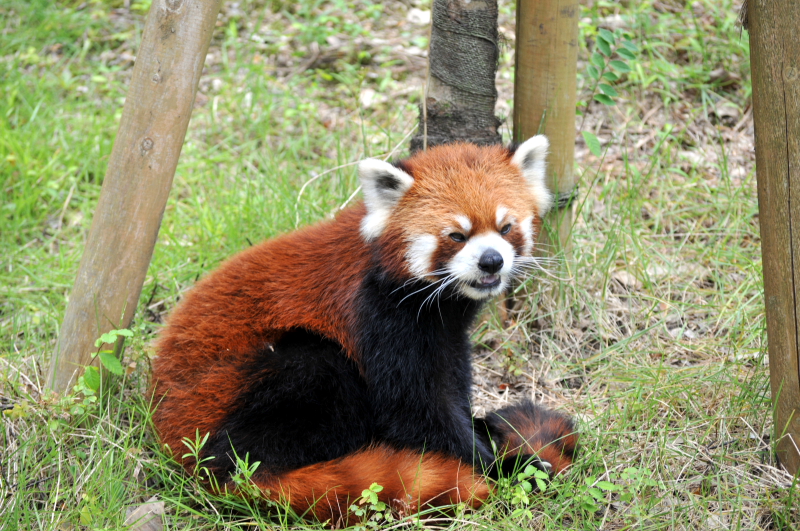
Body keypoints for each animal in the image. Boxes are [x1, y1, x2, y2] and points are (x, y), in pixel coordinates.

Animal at [152, 136, 576, 524]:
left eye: (505, 228)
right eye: (457, 235)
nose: (491, 261)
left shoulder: (445, 332)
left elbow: (449, 385)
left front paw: (485, 433)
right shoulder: (379, 315)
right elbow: (414, 410)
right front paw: (504, 468)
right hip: (244, 389)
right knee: (309, 374)